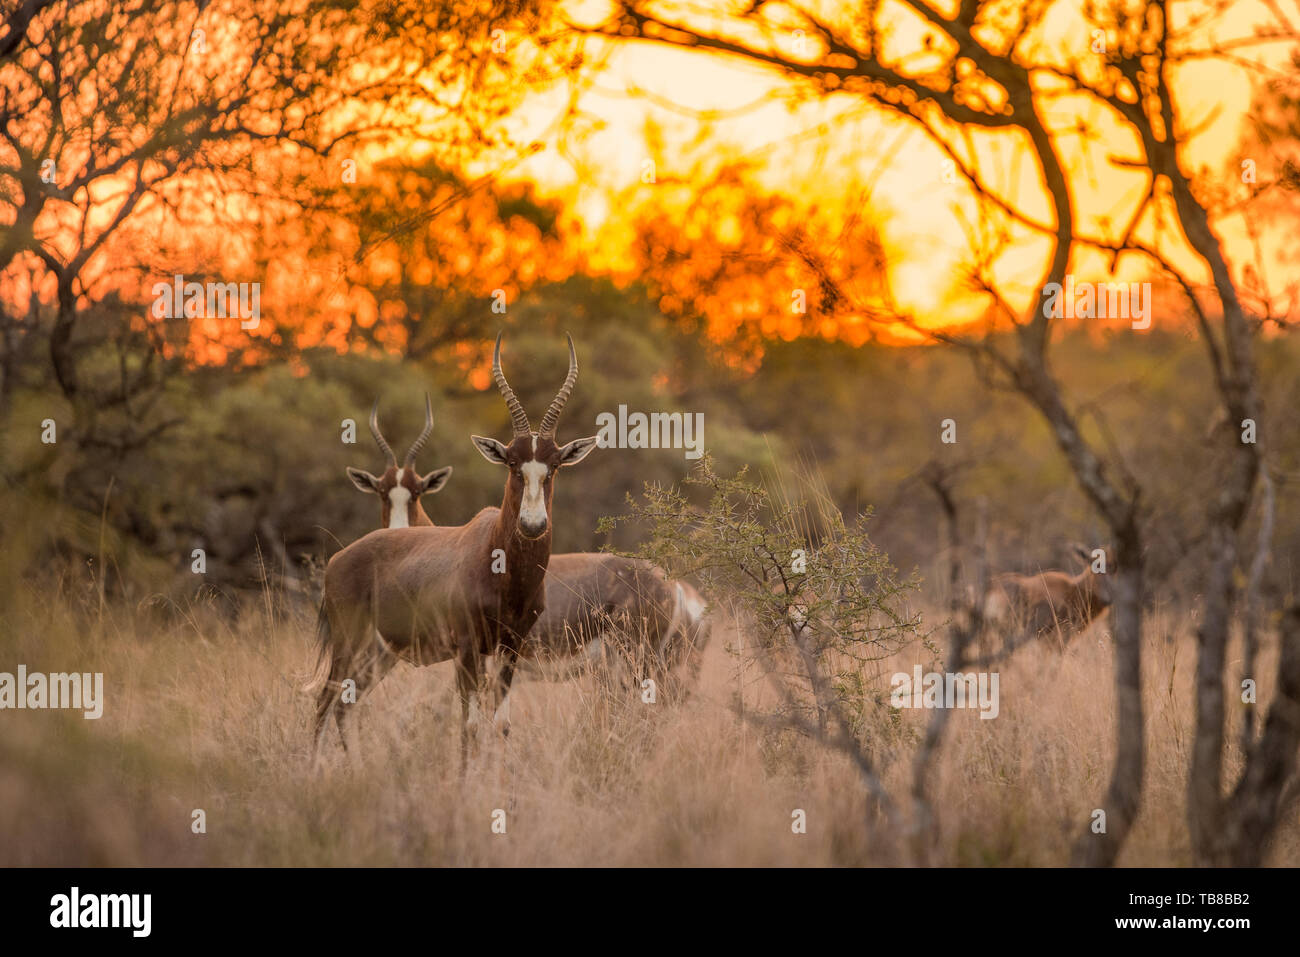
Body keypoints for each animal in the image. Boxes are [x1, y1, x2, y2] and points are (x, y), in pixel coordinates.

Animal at [314, 332, 598, 764]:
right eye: (512, 464)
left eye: (553, 466)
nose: (533, 525)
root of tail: (338, 559)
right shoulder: (466, 649)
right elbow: (469, 727)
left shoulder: (511, 647)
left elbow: (501, 726)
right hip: (350, 642)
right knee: (324, 701)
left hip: (380, 654)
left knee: (346, 704)